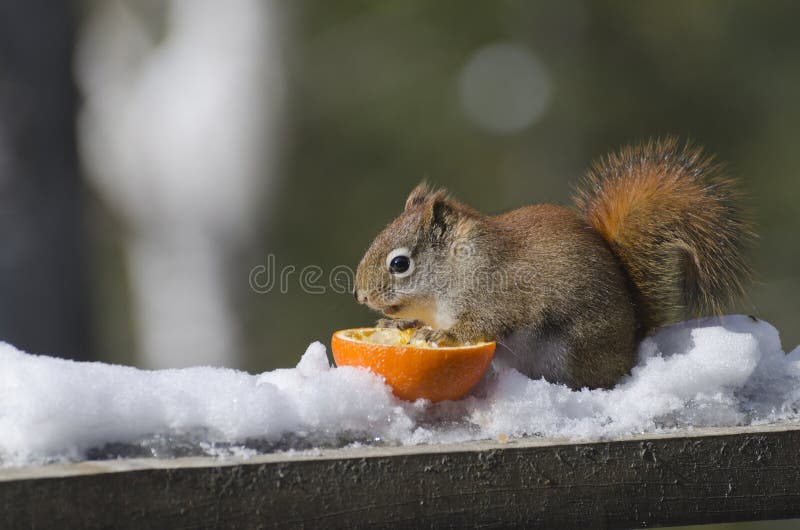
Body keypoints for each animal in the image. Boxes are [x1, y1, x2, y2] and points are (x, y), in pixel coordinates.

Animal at [353, 138, 754, 389]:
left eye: (400, 263)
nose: (360, 295)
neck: (458, 267)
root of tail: (631, 341)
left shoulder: (501, 293)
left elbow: (483, 324)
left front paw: (440, 335)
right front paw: (400, 323)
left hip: (572, 351)